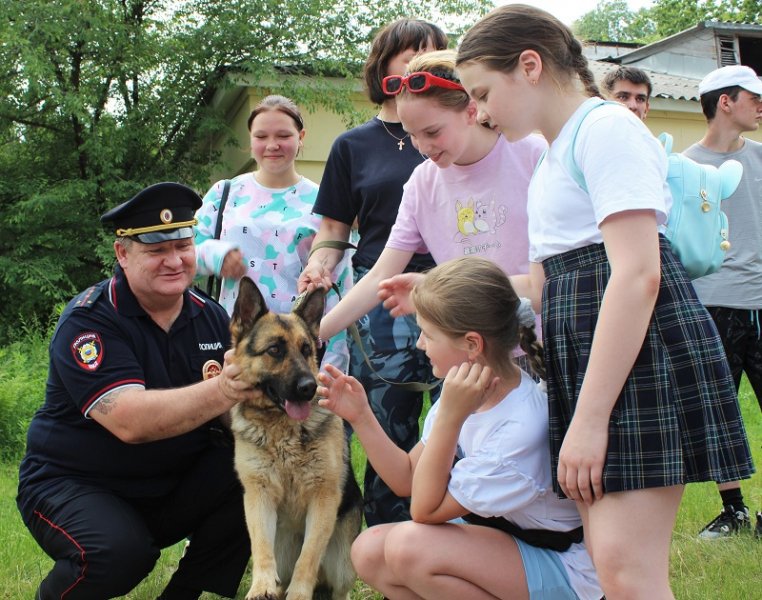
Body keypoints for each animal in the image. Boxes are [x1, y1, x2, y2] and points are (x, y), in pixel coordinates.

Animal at [229, 276, 362, 600]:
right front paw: (261, 586)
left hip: (341, 565)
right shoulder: (258, 496)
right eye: (275, 350)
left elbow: (309, 555)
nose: (309, 387)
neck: (282, 431)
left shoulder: (323, 498)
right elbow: (261, 548)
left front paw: (299, 593)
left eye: (306, 349)